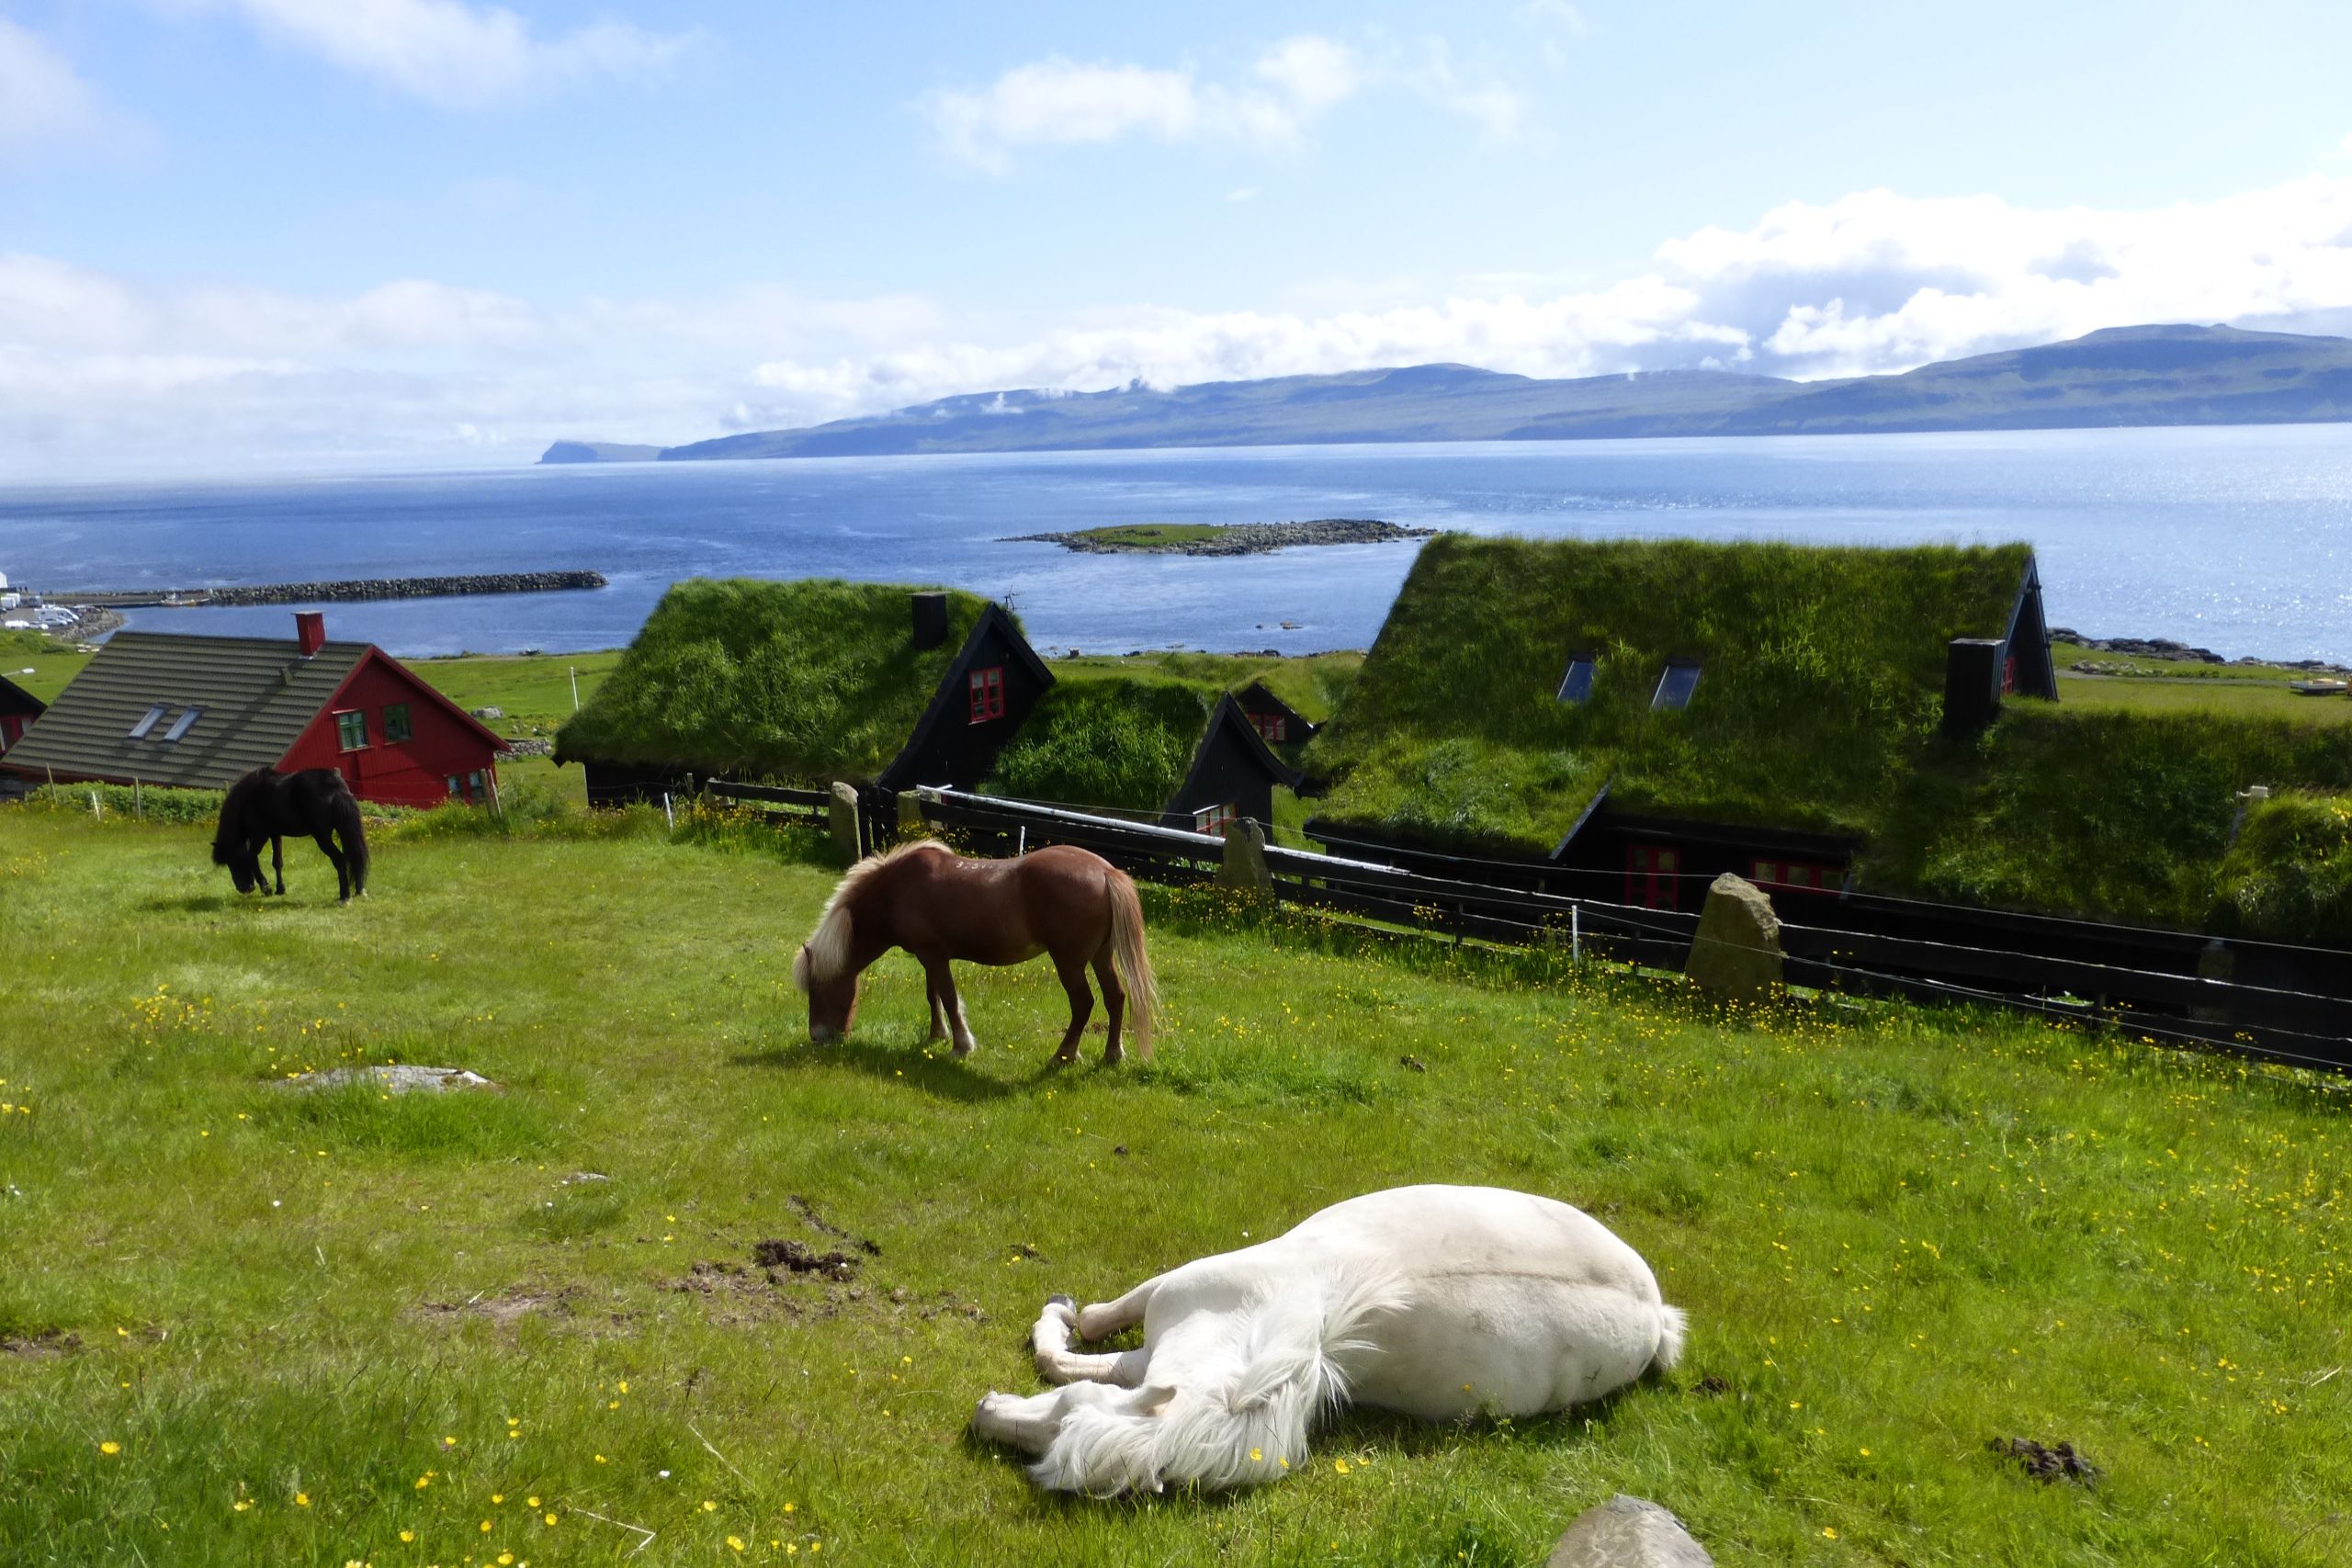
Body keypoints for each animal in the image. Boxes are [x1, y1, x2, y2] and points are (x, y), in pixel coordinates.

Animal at [212, 766, 371, 902]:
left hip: (322, 837)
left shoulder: (260, 834)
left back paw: (345, 896)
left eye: (232, 860)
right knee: (355, 855)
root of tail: (335, 784)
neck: (250, 797)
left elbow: (251, 856)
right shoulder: (275, 834)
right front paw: (280, 889)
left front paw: (266, 888)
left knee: (340, 859)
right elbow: (277, 862)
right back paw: (359, 890)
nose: (244, 888)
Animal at [790, 831, 1157, 1066]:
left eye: (817, 989)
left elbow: (949, 998)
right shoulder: (930, 956)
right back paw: (1113, 1055)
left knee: (1083, 1004)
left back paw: (1063, 1055)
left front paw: (960, 1046)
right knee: (1115, 998)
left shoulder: (934, 956)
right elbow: (934, 996)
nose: (817, 1037)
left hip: (1069, 962)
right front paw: (936, 1036)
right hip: (1100, 955)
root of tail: (1105, 871)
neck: (897, 891)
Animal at [964, 1189, 1683, 1495]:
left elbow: (1082, 1334)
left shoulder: (1164, 1299)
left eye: (1065, 1421)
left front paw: (1058, 1311)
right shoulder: (1153, 1346)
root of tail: (1657, 1314)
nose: (981, 1413)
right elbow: (1084, 1353)